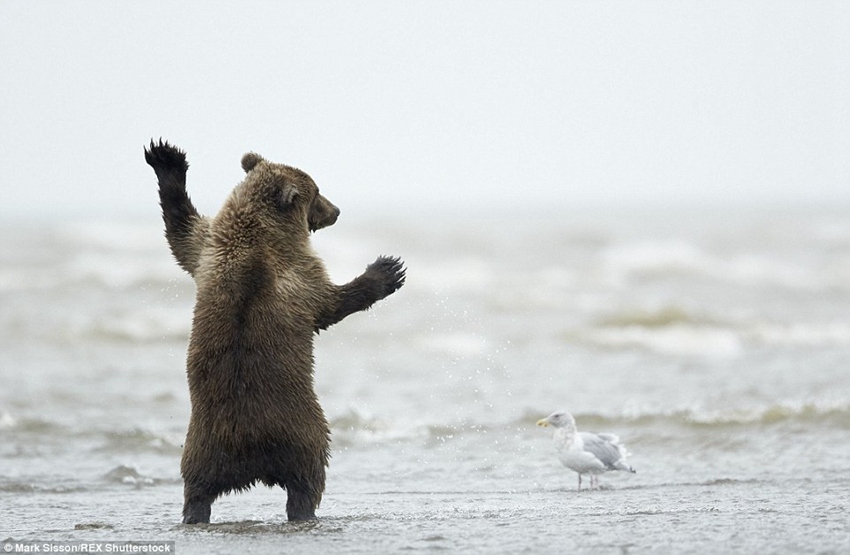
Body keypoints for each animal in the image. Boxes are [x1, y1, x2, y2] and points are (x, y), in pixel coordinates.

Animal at [144, 140, 405, 524]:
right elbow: (330, 303)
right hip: (302, 430)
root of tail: (249, 453)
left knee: (197, 487)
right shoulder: (298, 274)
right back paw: (305, 511)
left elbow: (182, 232)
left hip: (202, 444)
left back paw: (194, 514)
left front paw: (166, 159)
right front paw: (387, 270)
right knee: (308, 478)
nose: (336, 210)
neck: (257, 230)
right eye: (317, 192)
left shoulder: (209, 252)